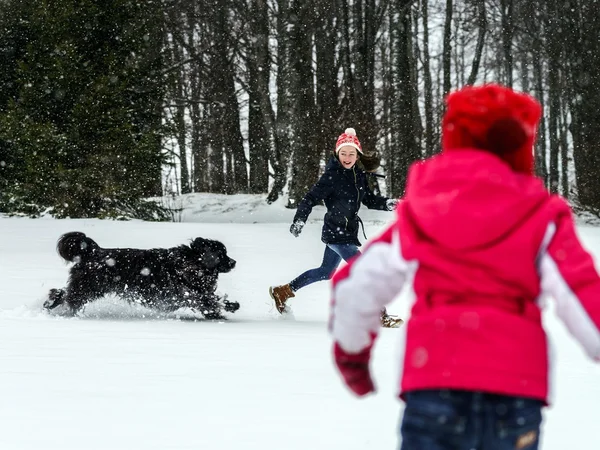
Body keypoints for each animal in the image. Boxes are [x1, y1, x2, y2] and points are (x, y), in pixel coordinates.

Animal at [44, 232, 239, 320]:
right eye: (221, 254)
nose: (234, 262)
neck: (191, 262)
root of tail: (93, 251)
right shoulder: (187, 293)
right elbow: (209, 302)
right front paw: (220, 315)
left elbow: (213, 298)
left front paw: (231, 305)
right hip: (88, 287)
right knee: (70, 298)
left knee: (61, 293)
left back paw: (49, 304)